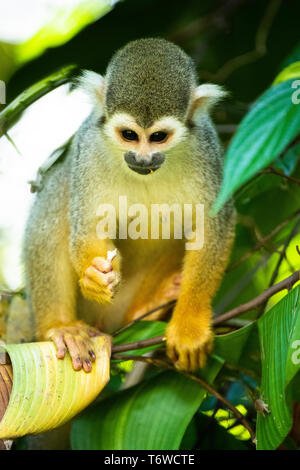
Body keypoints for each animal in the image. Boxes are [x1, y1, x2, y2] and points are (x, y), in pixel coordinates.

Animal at [23, 38, 236, 372]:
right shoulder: (89, 145)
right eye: (129, 135)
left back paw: (149, 307)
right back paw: (61, 327)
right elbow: (87, 226)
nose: (142, 159)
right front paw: (96, 278)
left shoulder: (207, 149)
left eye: (158, 136)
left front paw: (189, 326)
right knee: (56, 201)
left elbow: (212, 227)